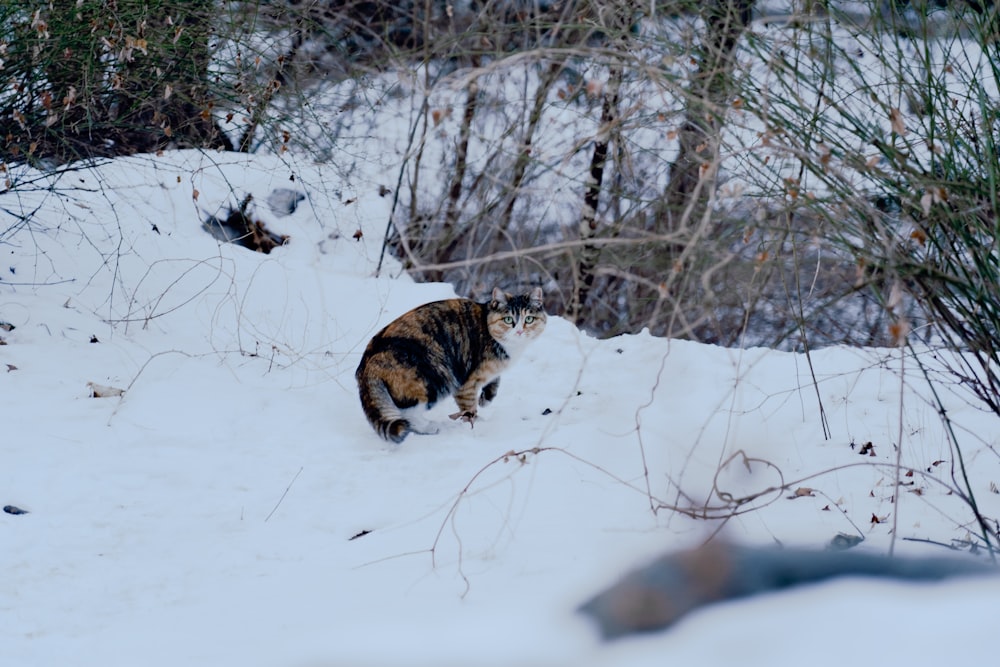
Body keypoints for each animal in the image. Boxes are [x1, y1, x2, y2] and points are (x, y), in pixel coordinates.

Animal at [356, 288, 548, 444]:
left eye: (529, 319)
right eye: (508, 319)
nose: (520, 331)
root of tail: (368, 361)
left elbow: (494, 381)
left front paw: (486, 398)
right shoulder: (467, 383)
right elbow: (469, 409)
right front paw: (474, 426)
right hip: (438, 375)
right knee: (409, 412)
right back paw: (430, 427)